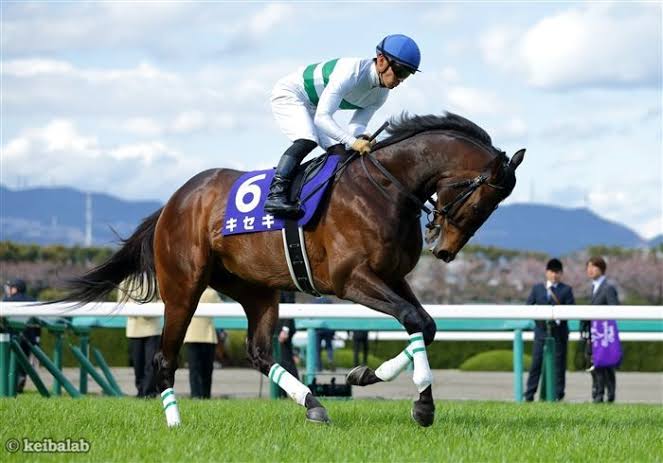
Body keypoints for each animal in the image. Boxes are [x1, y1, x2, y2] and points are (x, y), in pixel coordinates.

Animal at [57, 112, 525, 427]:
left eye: (492, 207)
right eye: (480, 201)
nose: (443, 250)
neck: (384, 187)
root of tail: (174, 201)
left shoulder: (392, 277)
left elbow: (424, 325)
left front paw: (375, 379)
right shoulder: (351, 279)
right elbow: (412, 319)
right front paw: (418, 403)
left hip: (257, 290)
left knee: (260, 352)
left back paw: (314, 404)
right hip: (184, 288)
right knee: (163, 355)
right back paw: (174, 420)